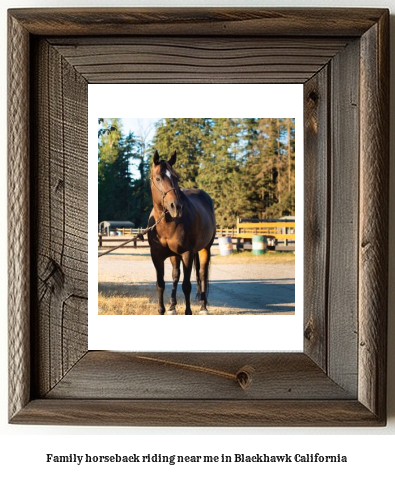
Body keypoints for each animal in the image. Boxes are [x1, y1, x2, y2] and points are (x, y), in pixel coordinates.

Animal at [148, 149, 217, 314]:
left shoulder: (187, 253)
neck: (166, 224)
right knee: (175, 275)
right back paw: (172, 306)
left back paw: (203, 307)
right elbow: (161, 284)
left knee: (202, 274)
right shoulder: (156, 256)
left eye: (176, 177)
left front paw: (188, 311)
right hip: (175, 255)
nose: (177, 206)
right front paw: (162, 310)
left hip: (205, 249)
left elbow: (186, 285)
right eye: (158, 178)